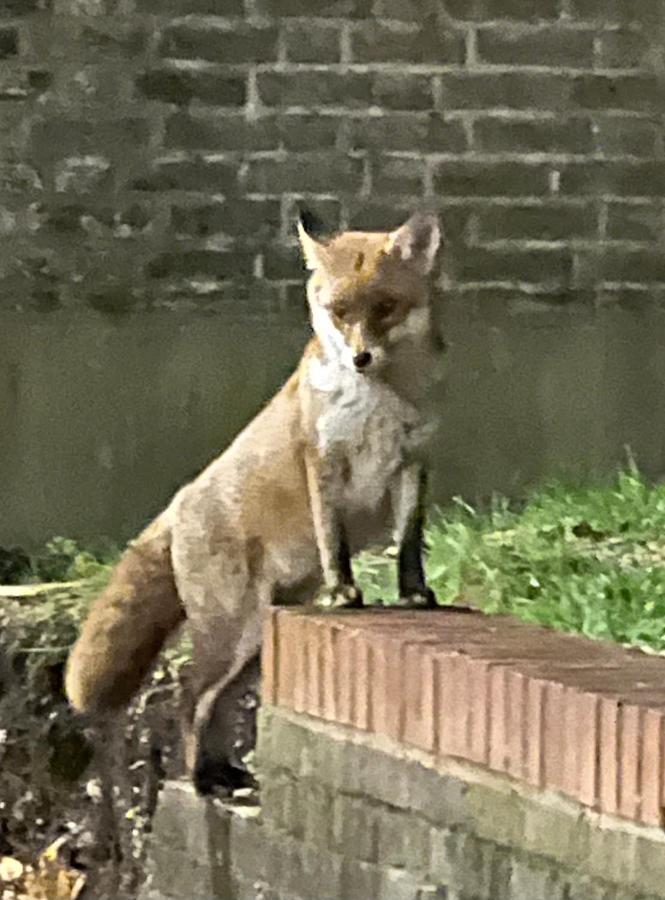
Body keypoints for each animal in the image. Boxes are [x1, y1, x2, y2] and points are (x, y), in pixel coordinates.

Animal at [65, 207, 446, 792]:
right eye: (338, 312)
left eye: (385, 307)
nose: (360, 357)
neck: (380, 404)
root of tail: (180, 500)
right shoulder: (322, 462)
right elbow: (333, 539)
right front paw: (343, 592)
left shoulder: (411, 466)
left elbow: (408, 543)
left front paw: (414, 595)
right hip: (232, 635)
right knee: (190, 702)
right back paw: (199, 783)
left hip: (255, 645)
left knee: (217, 706)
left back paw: (225, 774)